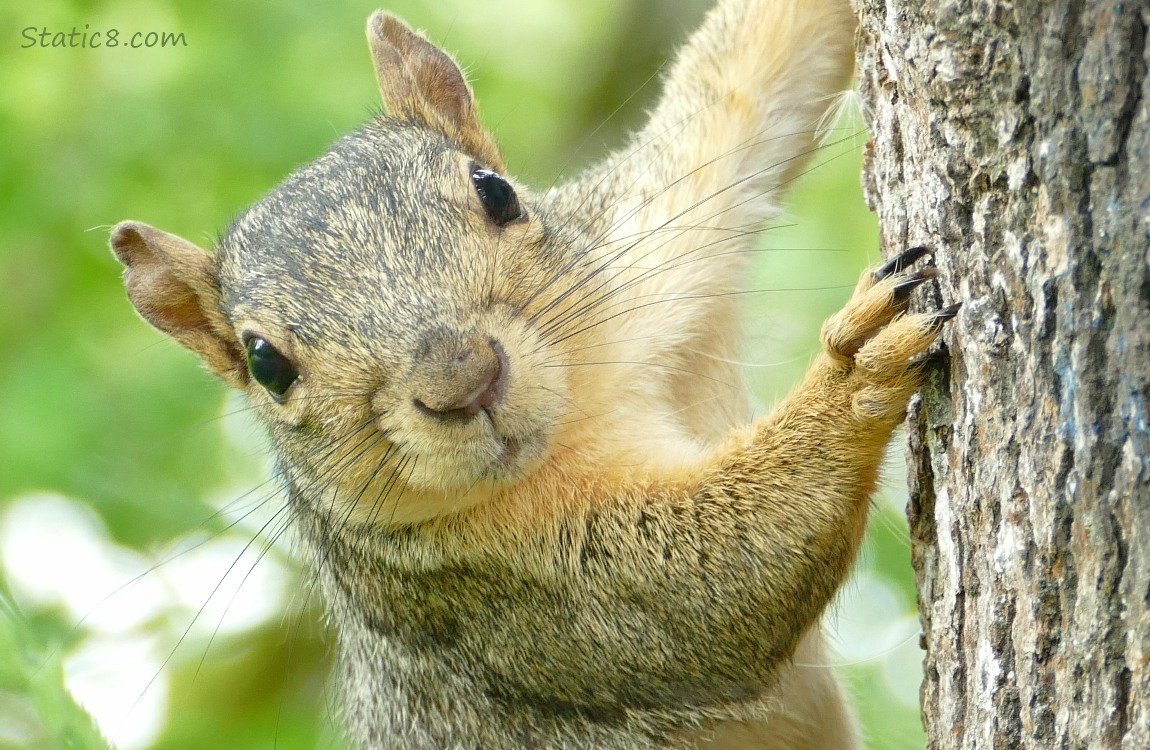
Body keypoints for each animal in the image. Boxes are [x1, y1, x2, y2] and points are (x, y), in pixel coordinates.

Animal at [109, 0, 958, 747]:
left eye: (496, 191)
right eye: (266, 364)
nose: (463, 379)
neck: (587, 402)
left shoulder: (654, 224)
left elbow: (749, 72)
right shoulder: (478, 591)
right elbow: (709, 588)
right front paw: (853, 370)